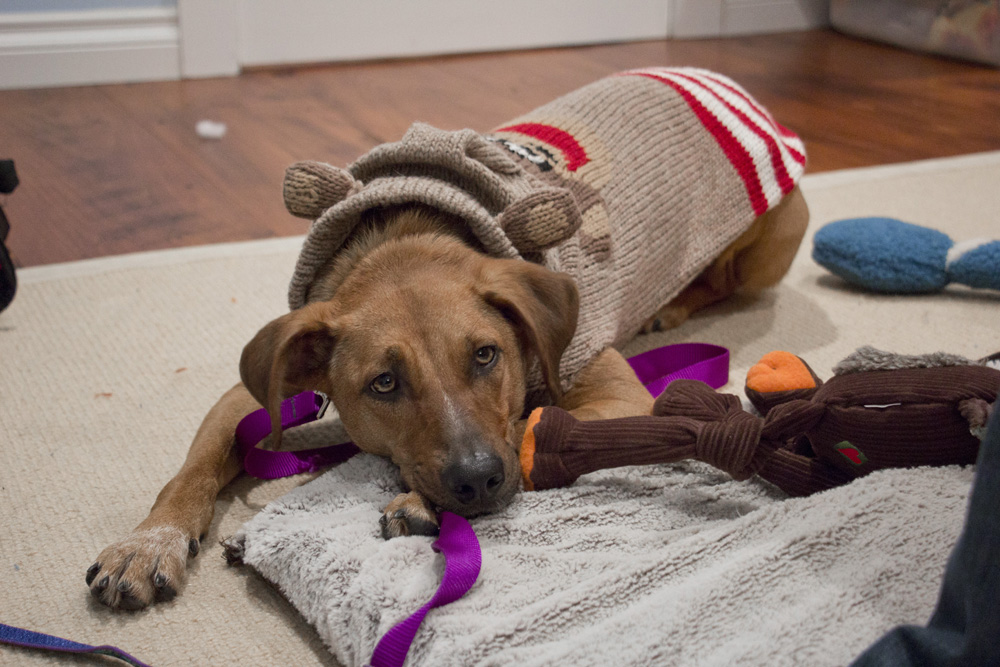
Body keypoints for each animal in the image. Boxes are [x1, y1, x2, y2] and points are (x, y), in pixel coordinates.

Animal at [88, 69, 812, 612]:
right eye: (384, 383)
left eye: (486, 354)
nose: (477, 482)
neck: (408, 239)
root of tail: (721, 82)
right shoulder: (255, 389)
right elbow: (192, 468)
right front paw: (147, 544)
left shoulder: (614, 394)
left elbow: (534, 426)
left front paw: (418, 500)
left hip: (770, 241)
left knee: (726, 280)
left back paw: (677, 302)